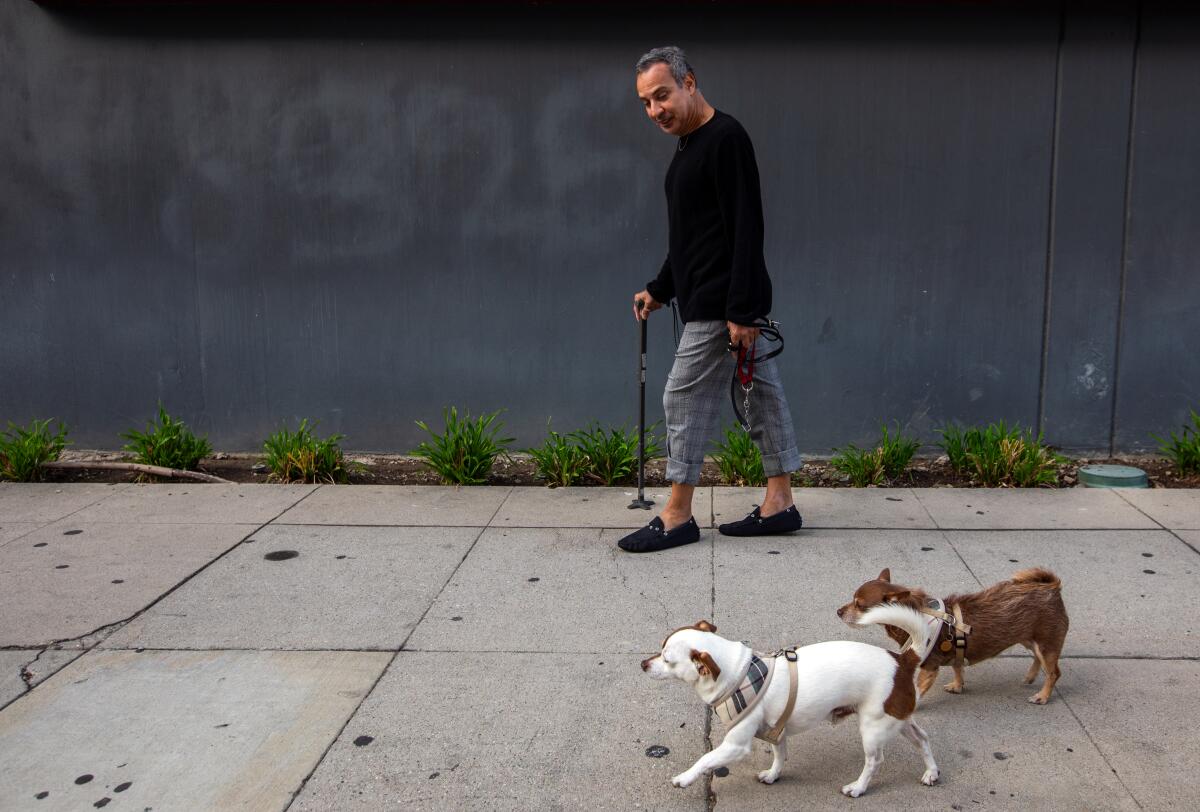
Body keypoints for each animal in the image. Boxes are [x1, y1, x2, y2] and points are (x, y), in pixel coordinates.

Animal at [643, 604, 940, 796]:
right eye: (660, 648)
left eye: (667, 660)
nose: (643, 664)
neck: (736, 672)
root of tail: (902, 660)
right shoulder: (776, 731)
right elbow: (780, 755)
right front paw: (774, 775)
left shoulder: (736, 745)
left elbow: (706, 759)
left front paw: (684, 778)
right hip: (897, 718)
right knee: (923, 738)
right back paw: (931, 772)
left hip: (873, 728)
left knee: (875, 761)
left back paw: (858, 787)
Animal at [835, 563, 1070, 705]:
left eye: (859, 605)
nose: (838, 611)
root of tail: (1052, 588)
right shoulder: (957, 649)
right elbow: (958, 668)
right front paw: (958, 686)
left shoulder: (928, 668)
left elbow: (919, 689)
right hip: (1030, 639)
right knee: (1037, 658)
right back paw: (1030, 677)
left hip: (1047, 644)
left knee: (1054, 673)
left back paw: (1043, 696)